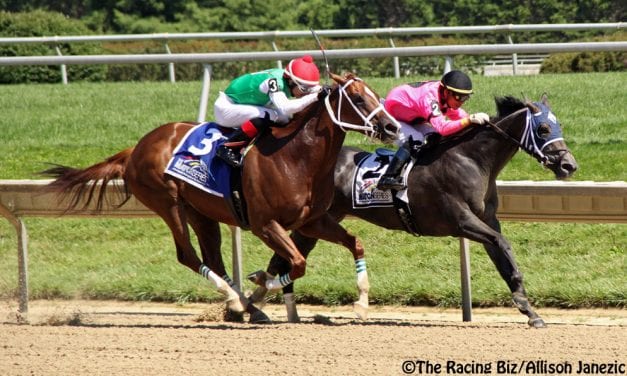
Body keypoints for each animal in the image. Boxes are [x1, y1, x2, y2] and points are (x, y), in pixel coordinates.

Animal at [44, 73, 400, 324]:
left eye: (375, 93)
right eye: (358, 97)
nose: (392, 127)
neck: (296, 158)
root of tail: (136, 148)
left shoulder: (312, 220)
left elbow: (355, 244)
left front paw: (361, 304)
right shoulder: (265, 224)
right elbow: (298, 263)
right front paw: (262, 280)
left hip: (200, 211)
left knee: (212, 257)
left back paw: (245, 306)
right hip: (167, 203)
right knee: (188, 255)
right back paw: (235, 300)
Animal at [250, 94, 580, 326]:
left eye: (560, 125)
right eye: (543, 128)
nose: (569, 165)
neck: (472, 159)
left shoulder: (487, 221)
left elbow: (503, 257)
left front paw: (529, 310)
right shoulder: (461, 221)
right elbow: (504, 245)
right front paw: (526, 307)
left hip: (318, 222)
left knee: (285, 257)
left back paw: (263, 304)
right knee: (283, 257)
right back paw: (252, 304)